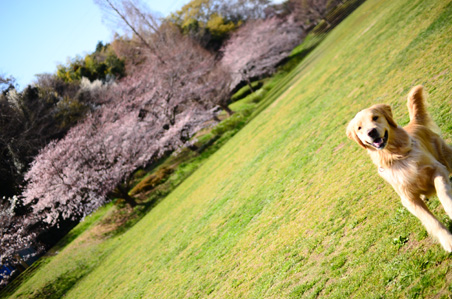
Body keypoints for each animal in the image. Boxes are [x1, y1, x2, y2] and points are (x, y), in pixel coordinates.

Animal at [350, 85, 452, 252]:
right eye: (359, 128)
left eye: (375, 118)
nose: (371, 132)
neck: (395, 155)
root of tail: (414, 124)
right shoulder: (408, 199)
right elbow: (430, 220)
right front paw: (447, 240)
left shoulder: (438, 169)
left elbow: (442, 191)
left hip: (445, 155)